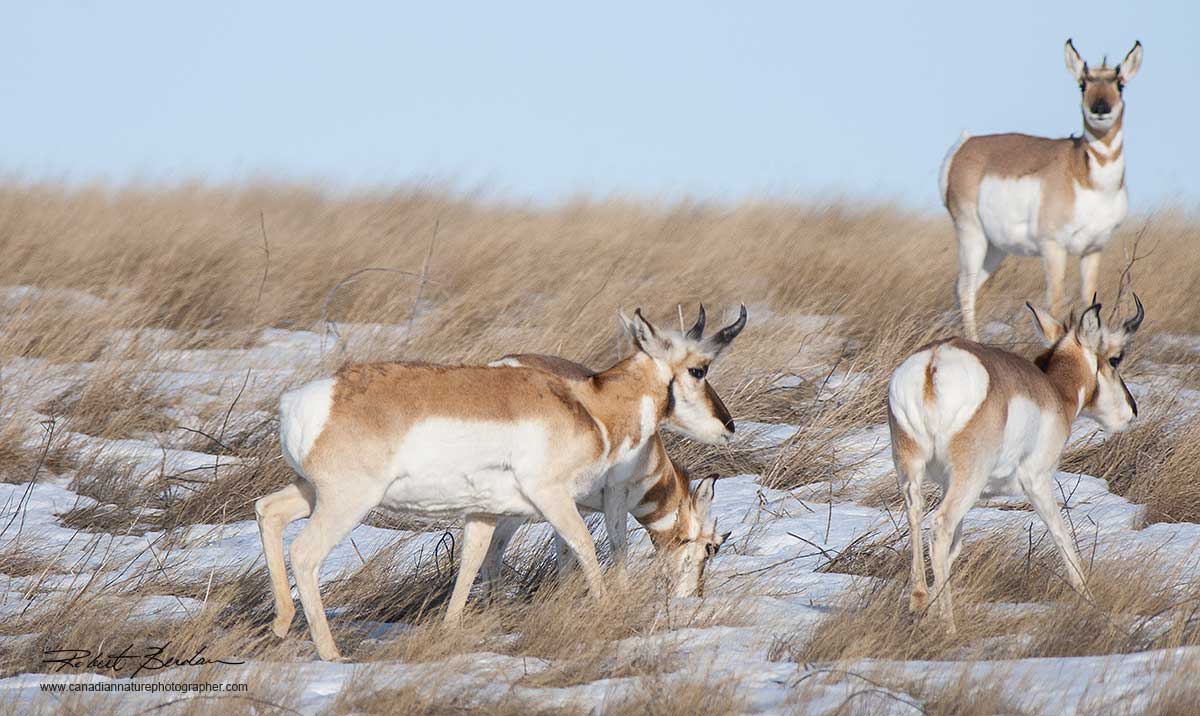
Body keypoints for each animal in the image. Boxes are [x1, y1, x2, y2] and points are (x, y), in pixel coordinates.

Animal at [479, 353, 730, 599]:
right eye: (710, 548)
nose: (694, 596)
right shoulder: (615, 495)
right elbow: (618, 548)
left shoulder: (574, 508)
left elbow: (566, 555)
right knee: (493, 552)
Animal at [887, 295, 1143, 631]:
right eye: (1115, 359)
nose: (1132, 410)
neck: (1053, 392)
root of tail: (935, 360)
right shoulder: (1038, 481)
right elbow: (1062, 534)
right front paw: (1090, 600)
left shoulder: (944, 484)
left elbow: (956, 549)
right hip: (969, 479)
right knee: (940, 527)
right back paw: (949, 625)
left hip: (912, 470)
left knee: (917, 517)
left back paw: (919, 603)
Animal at [941, 39, 1143, 340]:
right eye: (1083, 83)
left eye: (1120, 83)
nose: (1100, 108)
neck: (1089, 180)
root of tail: (967, 144)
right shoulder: (1053, 248)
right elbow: (1054, 302)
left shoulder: (1093, 249)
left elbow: (1089, 298)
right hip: (971, 235)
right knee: (966, 288)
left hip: (994, 248)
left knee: (965, 286)